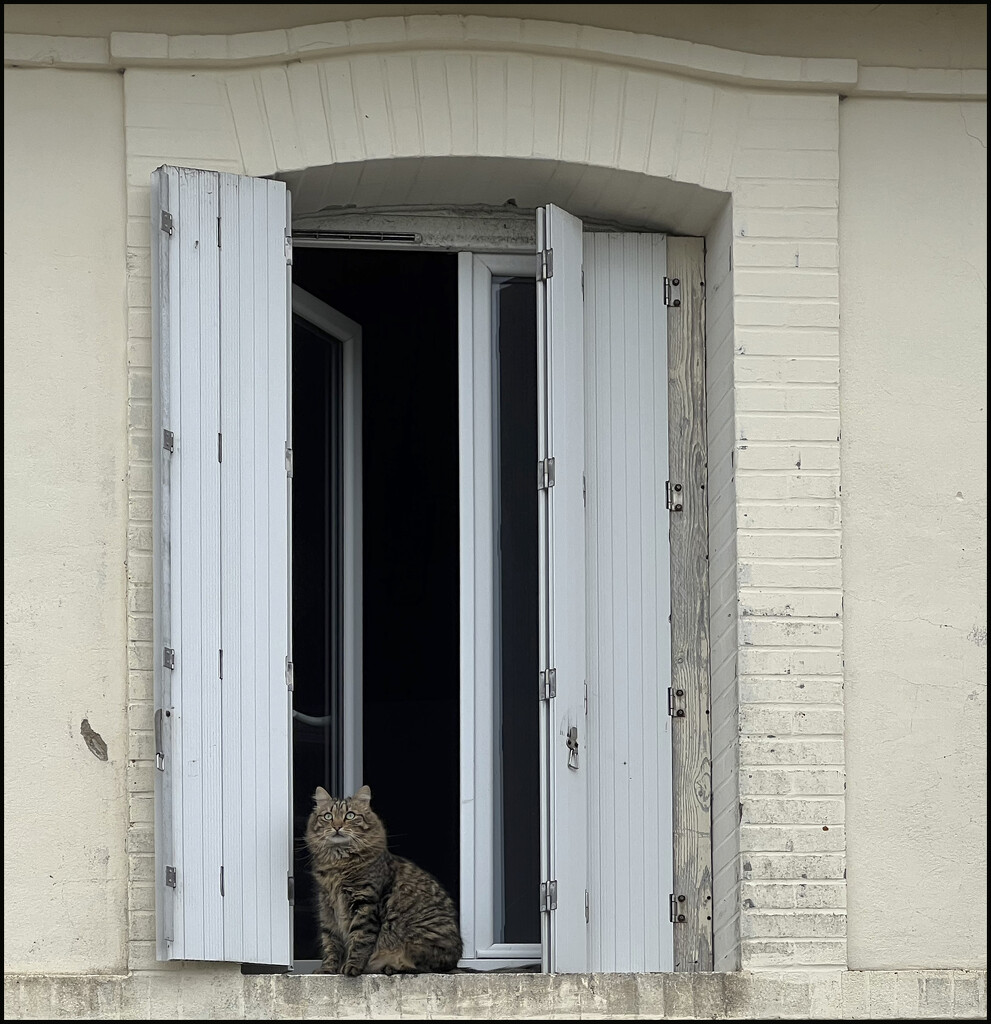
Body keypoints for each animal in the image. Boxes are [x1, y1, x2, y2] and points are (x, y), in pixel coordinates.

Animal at [305, 782, 464, 974]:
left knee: (425, 967)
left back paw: (391, 967)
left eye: (350, 815)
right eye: (328, 816)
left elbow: (360, 940)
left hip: (419, 941)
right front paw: (327, 969)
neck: (339, 863)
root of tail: (455, 962)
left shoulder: (365, 904)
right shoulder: (327, 908)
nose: (336, 827)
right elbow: (330, 943)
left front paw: (351, 968)